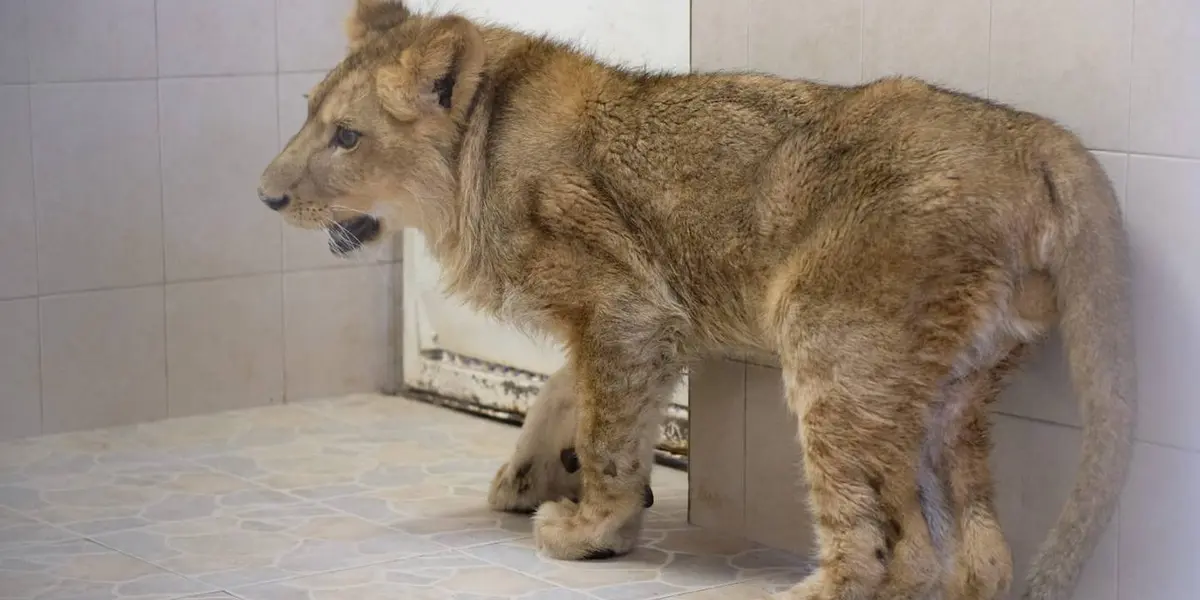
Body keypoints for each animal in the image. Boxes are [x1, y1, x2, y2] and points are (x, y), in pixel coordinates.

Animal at [257, 2, 1136, 599]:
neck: (480, 151)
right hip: (959, 381)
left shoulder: (624, 304)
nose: (265, 197)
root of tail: (1032, 138)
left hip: (831, 341)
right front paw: (533, 473)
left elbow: (608, 429)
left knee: (899, 545)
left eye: (347, 137)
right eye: (307, 117)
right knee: (979, 551)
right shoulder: (647, 315)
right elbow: (567, 390)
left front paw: (593, 528)